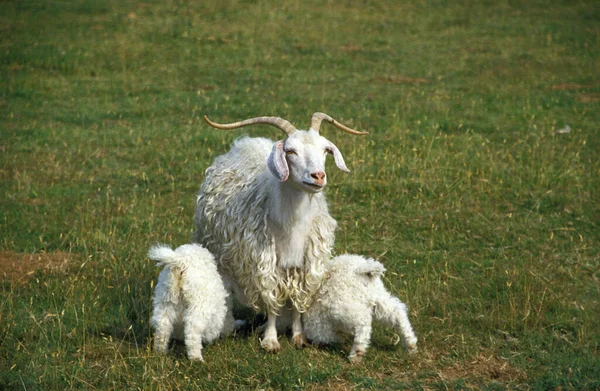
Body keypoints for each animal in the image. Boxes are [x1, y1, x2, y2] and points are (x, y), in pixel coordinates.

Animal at [195, 112, 368, 352]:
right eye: (290, 151)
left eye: (325, 149)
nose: (318, 176)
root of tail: (246, 142)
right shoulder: (265, 262)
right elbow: (271, 302)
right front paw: (270, 340)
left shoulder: (304, 266)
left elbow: (297, 302)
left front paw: (298, 336)